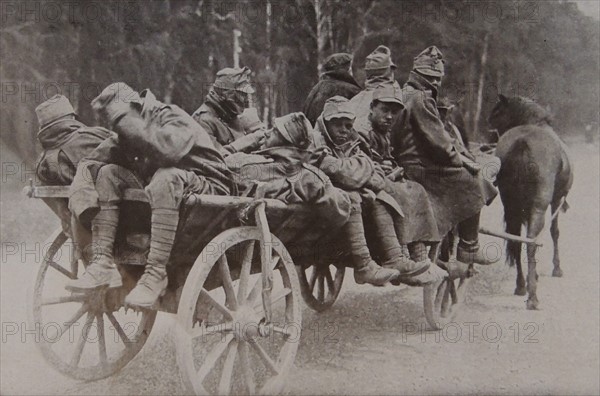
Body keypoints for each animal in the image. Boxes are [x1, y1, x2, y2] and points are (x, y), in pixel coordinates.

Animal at [488, 94, 572, 310]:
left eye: (497, 114)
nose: (489, 139)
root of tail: (522, 142)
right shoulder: (556, 199)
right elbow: (555, 232)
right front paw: (557, 268)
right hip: (539, 207)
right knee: (532, 241)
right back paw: (533, 296)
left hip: (512, 206)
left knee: (517, 240)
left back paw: (521, 285)